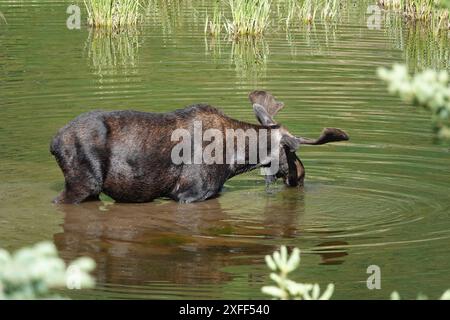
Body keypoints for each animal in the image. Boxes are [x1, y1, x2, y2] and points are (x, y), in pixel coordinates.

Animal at [51, 91, 350, 204]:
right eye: (292, 150)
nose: (301, 175)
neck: (235, 161)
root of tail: (53, 142)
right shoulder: (189, 193)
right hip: (83, 184)